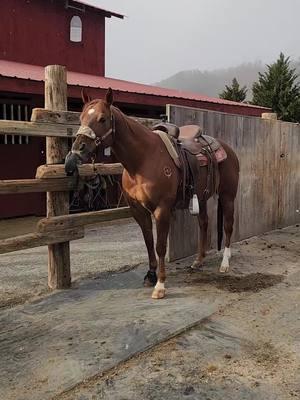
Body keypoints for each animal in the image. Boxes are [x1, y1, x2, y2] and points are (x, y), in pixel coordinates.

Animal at [65, 89, 239, 298]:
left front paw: (160, 285)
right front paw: (150, 275)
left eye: (102, 118)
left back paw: (225, 263)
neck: (143, 160)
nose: (77, 151)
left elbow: (160, 246)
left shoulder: (161, 210)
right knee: (203, 224)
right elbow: (148, 242)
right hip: (202, 198)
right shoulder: (138, 210)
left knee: (228, 226)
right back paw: (198, 261)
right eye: (81, 117)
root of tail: (226, 148)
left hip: (228, 196)